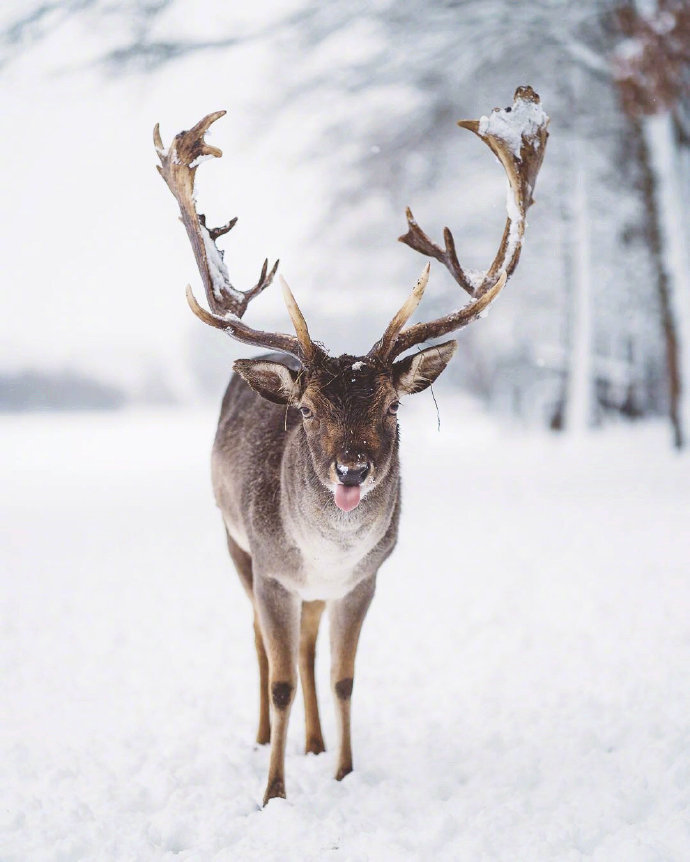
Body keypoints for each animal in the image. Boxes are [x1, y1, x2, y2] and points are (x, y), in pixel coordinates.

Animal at [153, 84, 544, 808]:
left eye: (392, 404)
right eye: (306, 409)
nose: (352, 468)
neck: (327, 553)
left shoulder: (365, 578)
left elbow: (343, 677)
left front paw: (343, 771)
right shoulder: (272, 570)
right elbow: (280, 679)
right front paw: (274, 792)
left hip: (309, 589)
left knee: (307, 649)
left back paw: (312, 742)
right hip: (233, 541)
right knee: (260, 644)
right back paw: (264, 738)